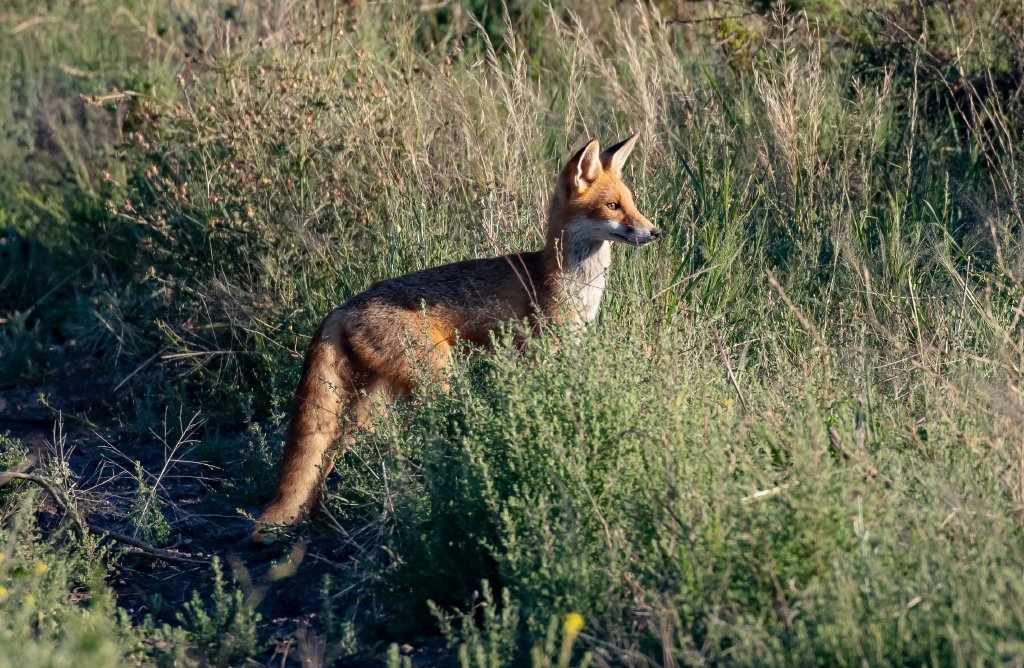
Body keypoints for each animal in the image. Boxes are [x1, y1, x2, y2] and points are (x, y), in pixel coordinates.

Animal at [254, 134, 661, 536]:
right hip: (434, 381)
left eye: (632, 204)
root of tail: (342, 307)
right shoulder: (542, 352)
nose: (657, 232)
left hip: (373, 401)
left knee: (330, 454)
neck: (574, 285)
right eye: (613, 206)